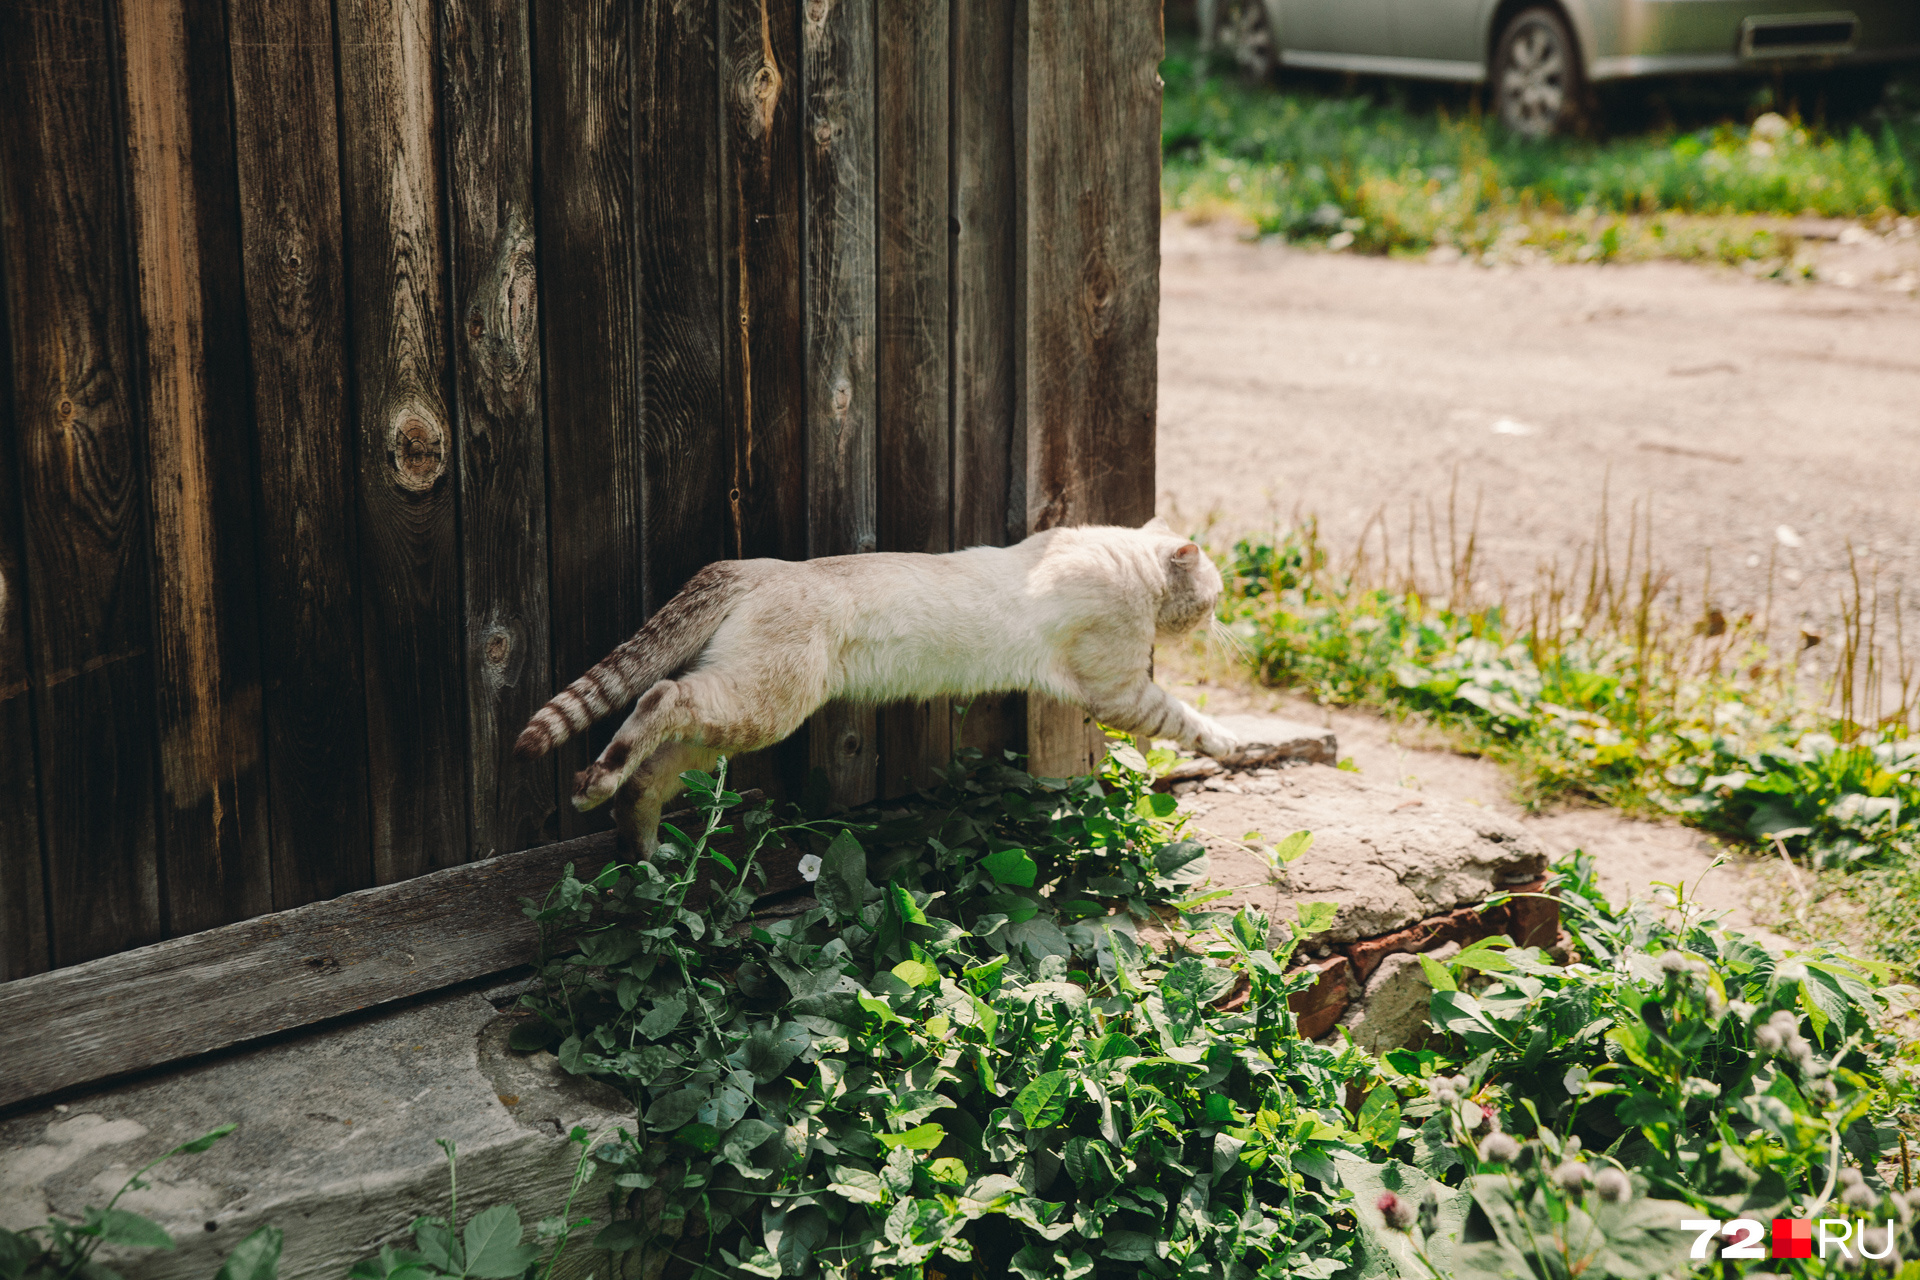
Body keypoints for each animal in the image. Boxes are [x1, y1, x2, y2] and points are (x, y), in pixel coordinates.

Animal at [510, 514, 1236, 855]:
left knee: (650, 773)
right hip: (763, 705)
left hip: (727, 726)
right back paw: (593, 787)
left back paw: (644, 853)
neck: (1123, 559)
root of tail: (756, 566)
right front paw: (1232, 746)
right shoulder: (1119, 690)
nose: (1221, 621)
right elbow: (1187, 720)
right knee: (660, 699)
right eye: (1214, 597)